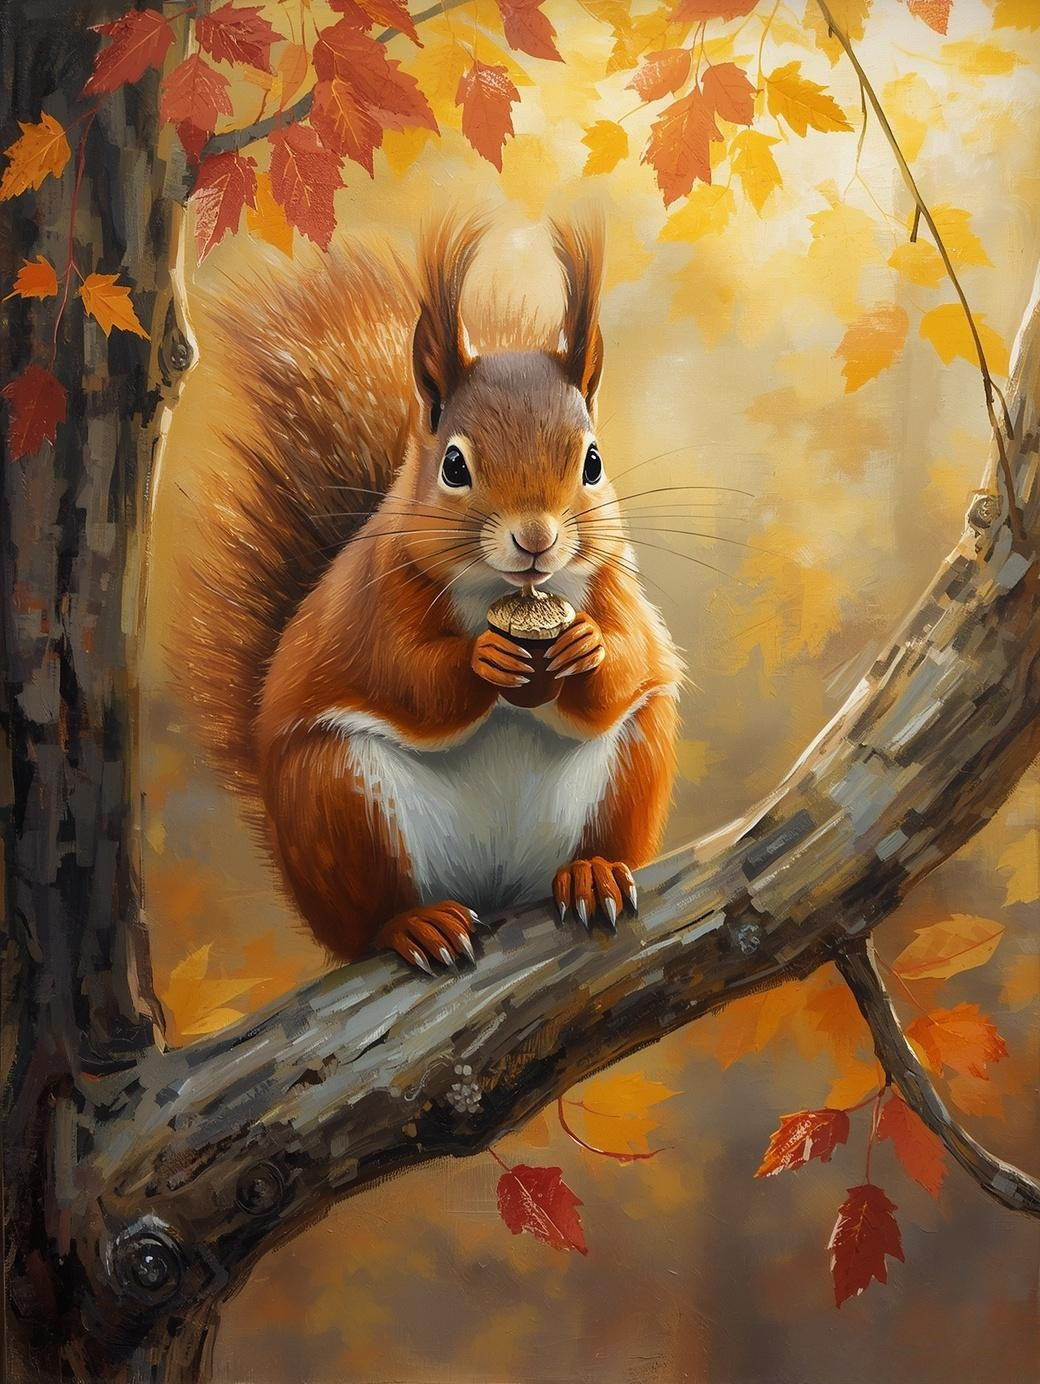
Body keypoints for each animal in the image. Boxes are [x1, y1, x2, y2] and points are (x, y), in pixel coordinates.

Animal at [175, 215, 682, 972]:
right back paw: (416, 925)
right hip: (336, 801)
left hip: (634, 771)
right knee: (366, 923)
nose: (536, 539)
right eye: (453, 466)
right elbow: (408, 678)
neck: (507, 594)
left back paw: (591, 872)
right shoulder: (374, 600)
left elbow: (628, 661)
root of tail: (493, 891)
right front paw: (481, 661)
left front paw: (587, 647)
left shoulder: (614, 583)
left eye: (593, 462)